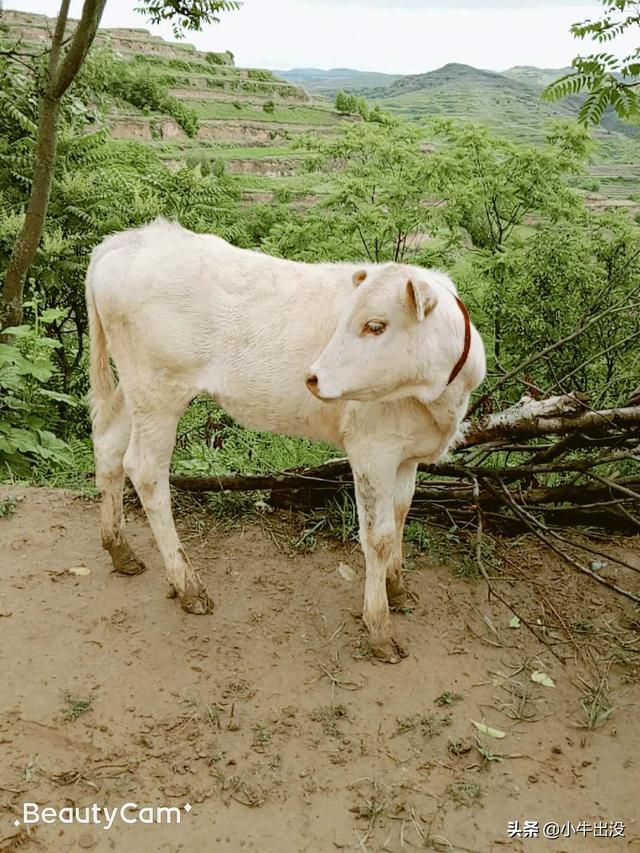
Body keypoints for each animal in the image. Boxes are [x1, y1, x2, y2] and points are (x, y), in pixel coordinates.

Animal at [86, 219, 486, 662]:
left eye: (376, 325)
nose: (313, 377)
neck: (438, 398)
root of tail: (130, 240)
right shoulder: (372, 451)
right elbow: (378, 537)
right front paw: (379, 628)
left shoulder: (406, 453)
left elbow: (400, 516)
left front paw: (397, 589)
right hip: (159, 391)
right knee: (144, 470)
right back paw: (188, 585)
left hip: (136, 390)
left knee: (109, 445)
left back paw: (120, 550)